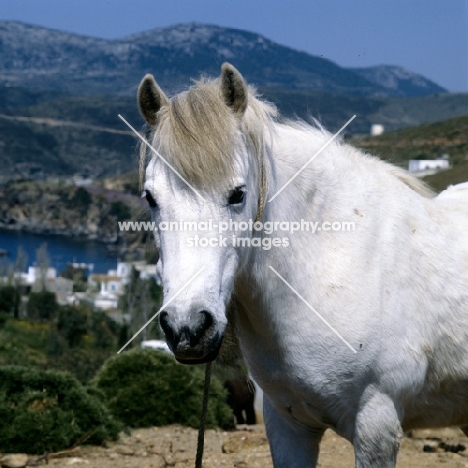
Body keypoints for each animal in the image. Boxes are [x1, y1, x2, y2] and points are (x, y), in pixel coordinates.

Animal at [137, 63, 468, 468]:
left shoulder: (377, 425)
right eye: (150, 197)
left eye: (238, 194)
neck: (328, 267)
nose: (188, 328)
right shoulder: (287, 423)